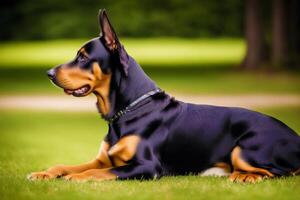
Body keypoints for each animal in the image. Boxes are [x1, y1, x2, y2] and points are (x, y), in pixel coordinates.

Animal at [27, 9, 298, 183]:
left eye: (83, 57)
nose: (49, 73)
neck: (127, 110)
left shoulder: (147, 166)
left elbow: (92, 173)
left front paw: (75, 177)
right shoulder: (105, 160)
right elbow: (68, 165)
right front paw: (45, 173)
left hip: (242, 149)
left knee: (280, 172)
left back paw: (244, 176)